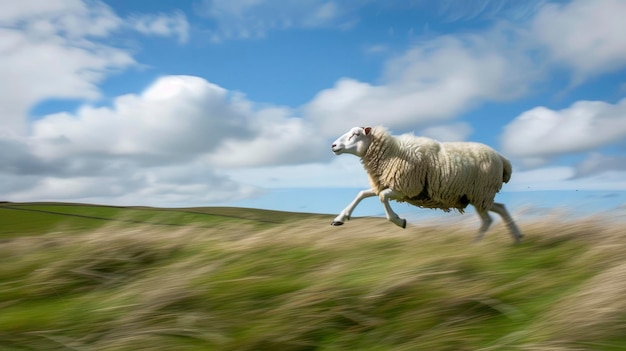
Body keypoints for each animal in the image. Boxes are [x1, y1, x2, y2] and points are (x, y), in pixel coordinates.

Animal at [330, 126, 520, 245]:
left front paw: (399, 221)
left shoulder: (405, 188)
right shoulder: (387, 184)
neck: (391, 153)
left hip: (480, 193)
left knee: (488, 220)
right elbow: (362, 194)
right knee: (501, 208)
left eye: (356, 134)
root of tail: (503, 159)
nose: (333, 145)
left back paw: (476, 245)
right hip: (478, 196)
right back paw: (517, 237)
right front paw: (340, 219)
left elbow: (383, 198)